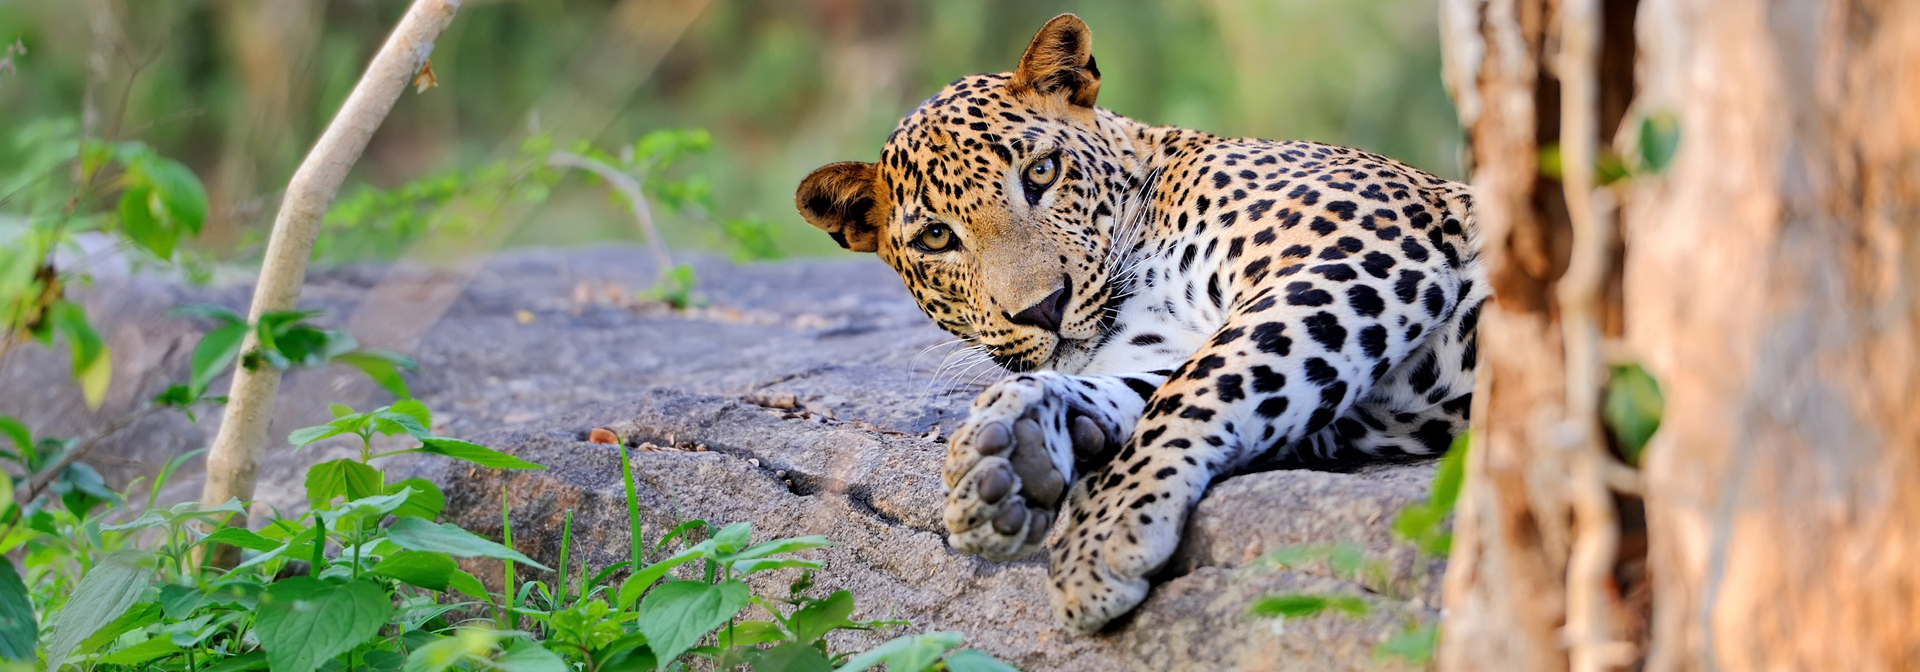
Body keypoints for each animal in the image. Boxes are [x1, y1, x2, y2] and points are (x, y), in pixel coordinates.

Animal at [794, 13, 1482, 633]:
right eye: (936, 237)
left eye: (1041, 172)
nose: (1043, 307)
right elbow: (1159, 386)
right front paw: (1011, 449)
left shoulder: (1354, 252)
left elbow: (1202, 383)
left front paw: (1101, 534)